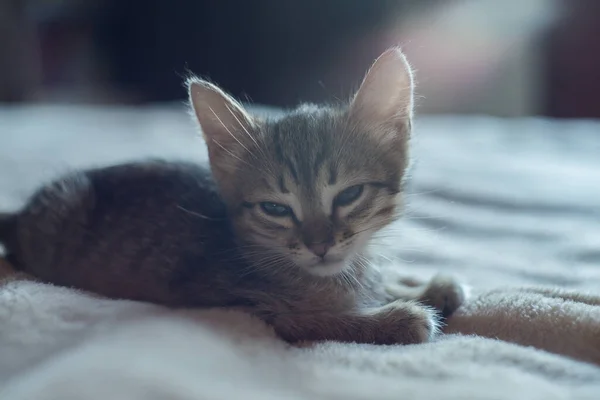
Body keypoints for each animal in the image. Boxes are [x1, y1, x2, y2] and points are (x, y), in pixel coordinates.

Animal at [0, 49, 464, 344]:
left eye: (349, 194)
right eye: (275, 208)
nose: (319, 246)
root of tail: (21, 212)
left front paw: (422, 285)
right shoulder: (253, 306)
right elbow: (322, 319)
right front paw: (400, 317)